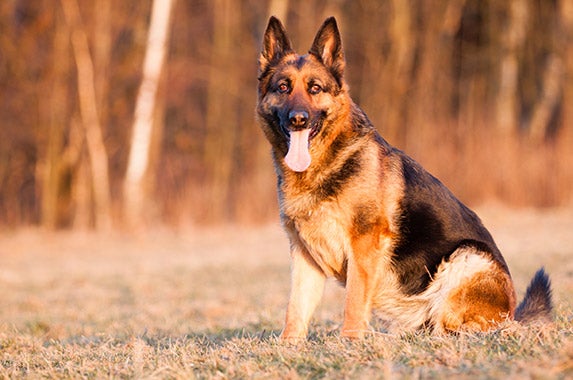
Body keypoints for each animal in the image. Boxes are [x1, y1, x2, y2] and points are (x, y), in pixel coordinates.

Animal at [256, 16, 548, 340]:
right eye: (283, 87)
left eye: (315, 88)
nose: (298, 119)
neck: (324, 164)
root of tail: (512, 312)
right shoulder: (304, 255)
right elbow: (295, 309)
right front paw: (289, 344)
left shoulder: (363, 246)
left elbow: (353, 301)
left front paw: (350, 340)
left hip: (467, 257)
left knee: (458, 325)